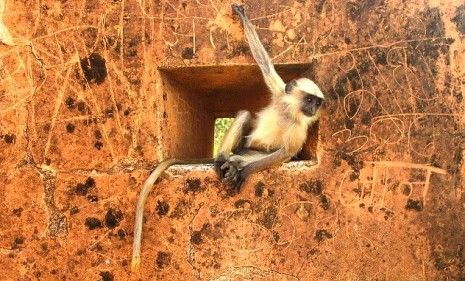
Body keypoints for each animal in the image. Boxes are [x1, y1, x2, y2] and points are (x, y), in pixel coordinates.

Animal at [130, 3, 324, 272]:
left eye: (317, 102)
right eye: (309, 99)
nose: (314, 108)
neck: (290, 112)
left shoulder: (300, 129)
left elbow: (287, 152)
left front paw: (243, 172)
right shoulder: (280, 93)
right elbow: (265, 66)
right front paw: (242, 17)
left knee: (246, 155)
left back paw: (234, 166)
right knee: (244, 116)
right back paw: (222, 158)